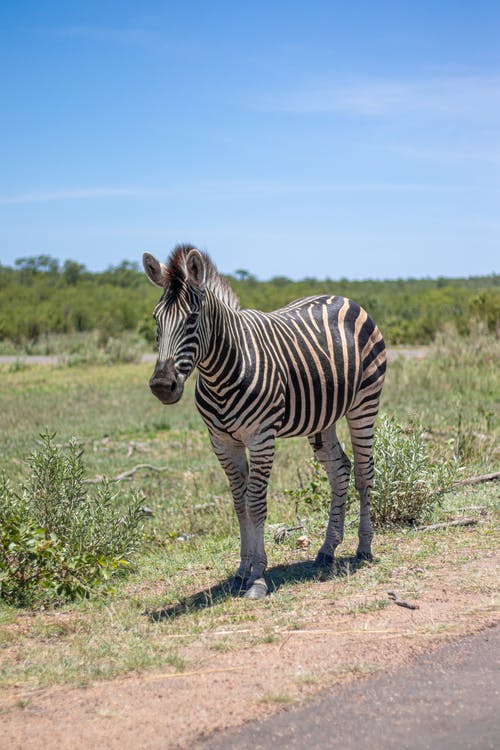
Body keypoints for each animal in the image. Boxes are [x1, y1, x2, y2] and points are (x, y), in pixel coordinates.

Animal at [144, 245, 386, 600]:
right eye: (156, 319)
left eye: (192, 318)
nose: (162, 386)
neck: (221, 371)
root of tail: (342, 297)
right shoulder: (222, 443)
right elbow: (239, 504)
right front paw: (241, 571)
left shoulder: (261, 437)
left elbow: (256, 503)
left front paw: (257, 576)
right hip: (323, 416)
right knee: (339, 470)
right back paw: (328, 549)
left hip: (364, 403)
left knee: (363, 471)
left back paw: (364, 548)